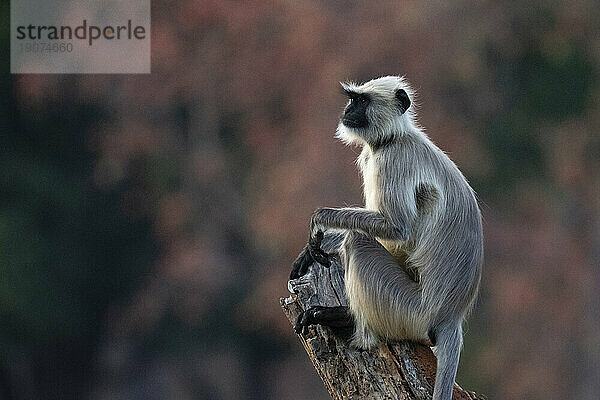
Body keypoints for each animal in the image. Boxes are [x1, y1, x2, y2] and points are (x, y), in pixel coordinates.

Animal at [290, 76, 482, 400]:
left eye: (362, 101)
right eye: (352, 99)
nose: (348, 110)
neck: (392, 138)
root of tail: (451, 315)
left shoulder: (392, 160)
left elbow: (397, 228)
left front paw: (320, 222)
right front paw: (312, 249)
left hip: (407, 311)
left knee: (357, 240)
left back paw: (350, 325)